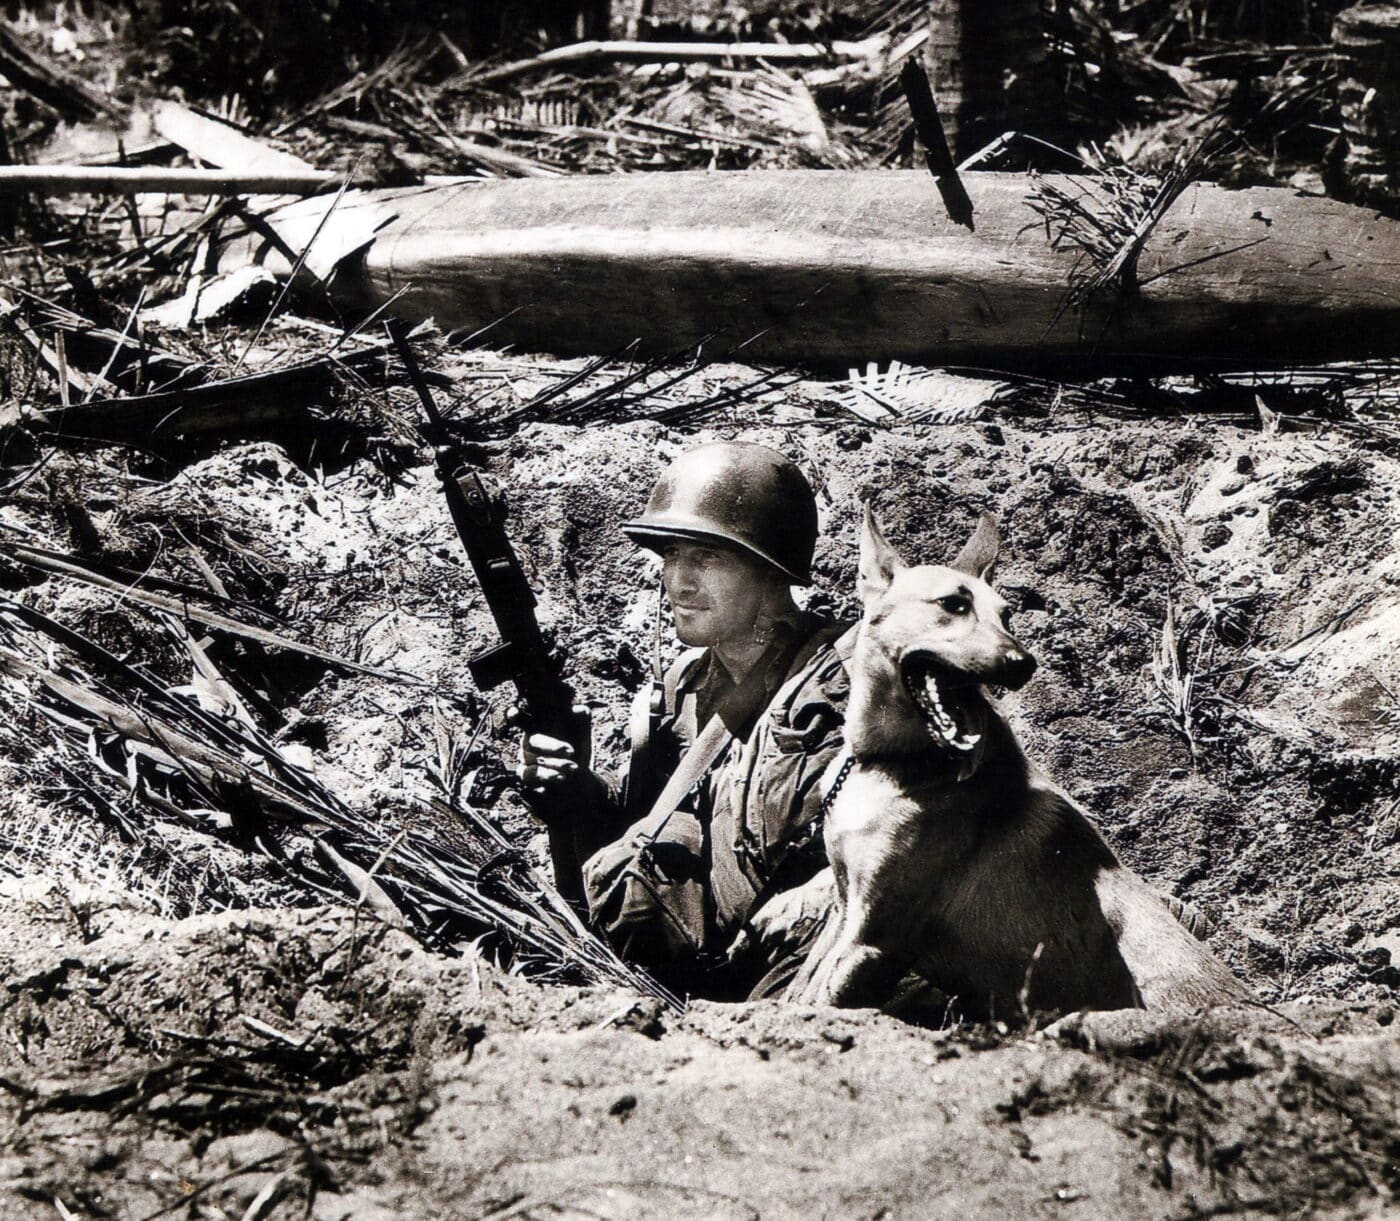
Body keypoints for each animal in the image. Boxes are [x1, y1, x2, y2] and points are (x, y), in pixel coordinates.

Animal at [789, 506, 1248, 1019]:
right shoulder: (844, 910)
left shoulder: (874, 940)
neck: (889, 763)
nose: (1023, 663)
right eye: (953, 604)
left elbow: (815, 1001)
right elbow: (798, 991)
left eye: (1006, 615)